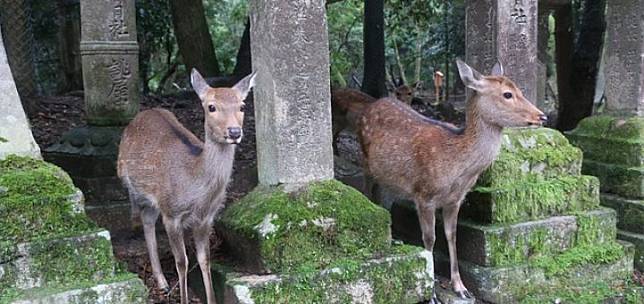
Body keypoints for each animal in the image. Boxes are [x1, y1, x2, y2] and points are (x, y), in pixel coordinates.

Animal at [117, 69, 258, 304]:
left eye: (242, 106)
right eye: (211, 107)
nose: (234, 132)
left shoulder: (207, 218)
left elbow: (204, 259)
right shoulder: (171, 214)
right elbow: (182, 261)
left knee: (148, 218)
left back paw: (163, 283)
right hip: (134, 186)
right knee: (143, 217)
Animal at [338, 60, 544, 302]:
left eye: (519, 90)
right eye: (507, 94)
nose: (542, 116)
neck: (457, 171)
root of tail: (372, 104)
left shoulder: (456, 200)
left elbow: (452, 236)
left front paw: (461, 287)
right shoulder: (423, 194)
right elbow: (429, 239)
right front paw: (431, 292)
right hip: (366, 163)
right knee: (369, 192)